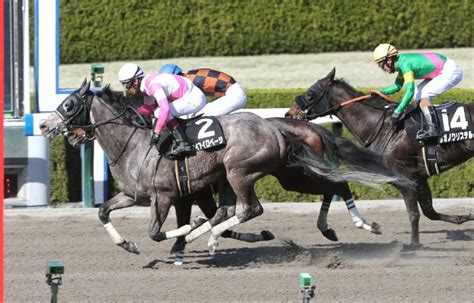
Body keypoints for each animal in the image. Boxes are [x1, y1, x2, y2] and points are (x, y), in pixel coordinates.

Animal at [39, 81, 404, 258]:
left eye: (68, 104)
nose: (43, 125)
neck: (135, 143)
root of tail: (276, 129)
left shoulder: (165, 195)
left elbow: (158, 231)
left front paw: (189, 233)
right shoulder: (135, 196)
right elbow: (103, 211)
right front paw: (127, 244)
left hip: (239, 172)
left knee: (252, 208)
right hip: (290, 174)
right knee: (332, 186)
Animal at [286, 68, 474, 247]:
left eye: (310, 94)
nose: (289, 114)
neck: (382, 127)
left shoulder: (405, 177)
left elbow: (414, 213)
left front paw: (413, 245)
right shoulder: (419, 177)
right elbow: (430, 212)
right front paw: (464, 218)